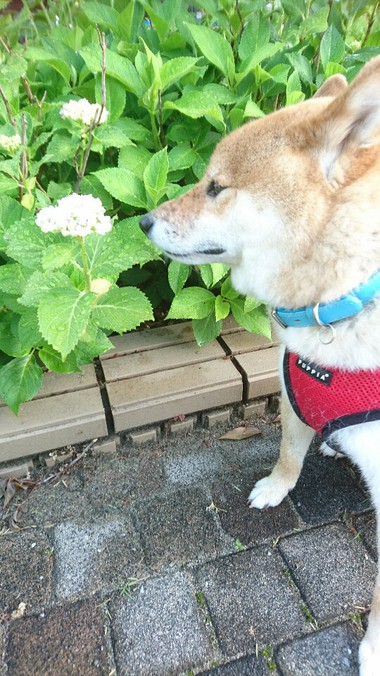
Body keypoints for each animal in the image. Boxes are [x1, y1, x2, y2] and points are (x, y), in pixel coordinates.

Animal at [140, 59, 380, 676]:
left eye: (216, 186)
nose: (144, 220)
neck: (337, 300)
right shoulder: (294, 390)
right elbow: (289, 453)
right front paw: (276, 488)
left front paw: (372, 647)